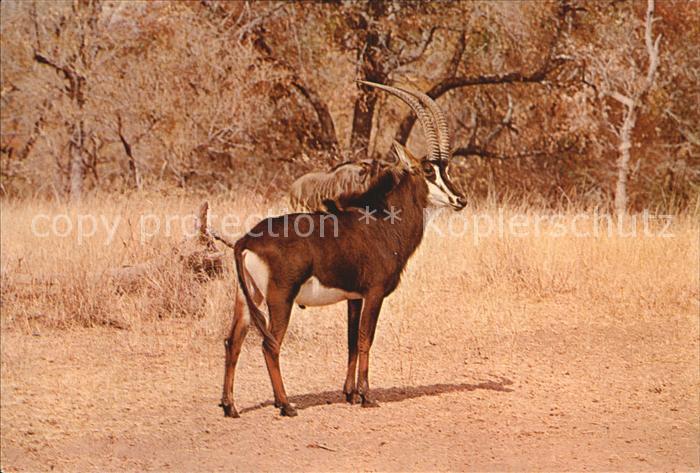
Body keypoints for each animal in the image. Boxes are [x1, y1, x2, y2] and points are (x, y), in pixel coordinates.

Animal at [221, 80, 466, 418]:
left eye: (447, 169)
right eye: (429, 171)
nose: (461, 199)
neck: (383, 221)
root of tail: (247, 240)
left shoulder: (354, 297)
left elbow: (350, 341)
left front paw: (349, 393)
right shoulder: (374, 293)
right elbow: (365, 340)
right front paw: (366, 395)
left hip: (248, 299)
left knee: (233, 341)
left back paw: (230, 406)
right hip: (280, 298)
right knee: (270, 344)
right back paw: (285, 404)